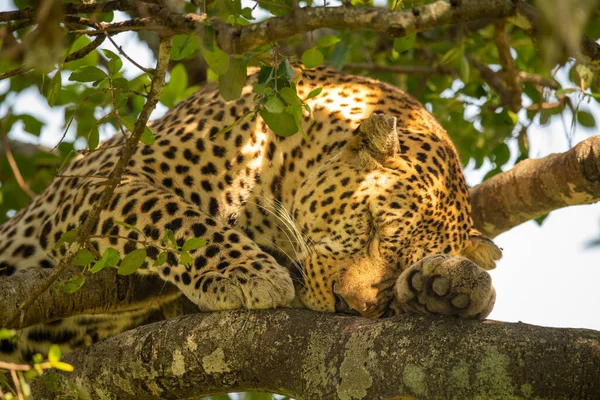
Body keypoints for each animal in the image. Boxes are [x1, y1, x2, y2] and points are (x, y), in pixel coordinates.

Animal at [1, 64, 502, 360]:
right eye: (375, 225)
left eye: (399, 269)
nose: (349, 305)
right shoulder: (95, 186)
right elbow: (169, 213)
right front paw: (245, 273)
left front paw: (450, 287)